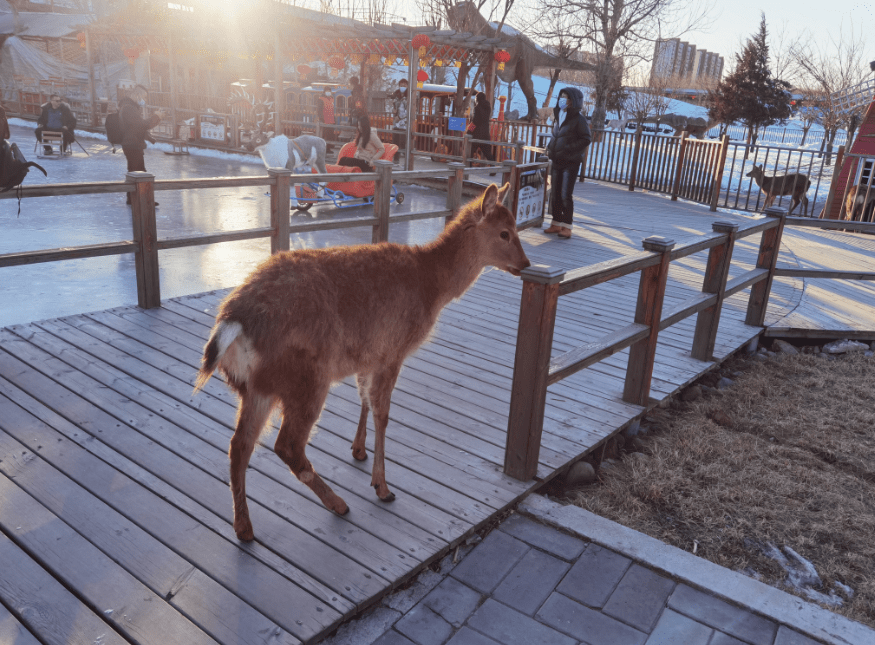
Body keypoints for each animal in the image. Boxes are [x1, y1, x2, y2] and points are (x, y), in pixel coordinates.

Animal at [194, 184, 532, 540]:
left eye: (515, 226)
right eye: (505, 232)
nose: (525, 263)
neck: (431, 284)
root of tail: (233, 320)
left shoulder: (369, 354)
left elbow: (364, 396)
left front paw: (358, 449)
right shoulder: (393, 351)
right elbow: (383, 412)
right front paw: (382, 486)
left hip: (257, 387)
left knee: (239, 445)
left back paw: (243, 526)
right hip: (306, 378)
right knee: (286, 445)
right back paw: (338, 504)